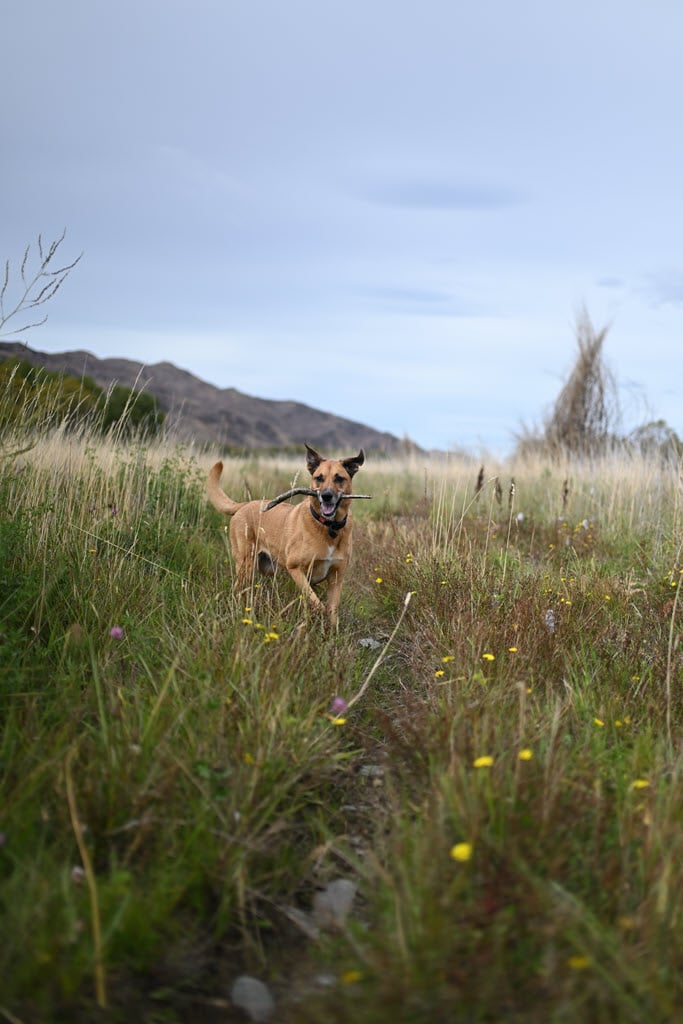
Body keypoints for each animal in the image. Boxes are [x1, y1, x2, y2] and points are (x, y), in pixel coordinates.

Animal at [208, 446, 366, 626]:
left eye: (339, 478)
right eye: (319, 478)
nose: (326, 496)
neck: (328, 527)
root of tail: (244, 505)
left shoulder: (336, 579)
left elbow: (332, 611)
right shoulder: (295, 568)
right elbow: (315, 601)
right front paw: (319, 617)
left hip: (264, 567)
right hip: (246, 566)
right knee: (237, 590)